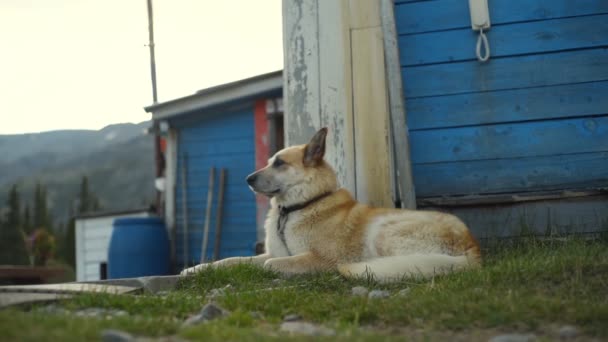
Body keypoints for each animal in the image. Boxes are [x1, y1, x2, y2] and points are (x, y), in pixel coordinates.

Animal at [180, 127, 480, 282]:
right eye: (268, 161)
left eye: (279, 163)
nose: (247, 179)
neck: (296, 208)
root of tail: (472, 245)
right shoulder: (269, 253)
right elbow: (230, 261)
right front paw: (195, 269)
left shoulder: (318, 258)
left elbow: (269, 266)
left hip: (384, 230)